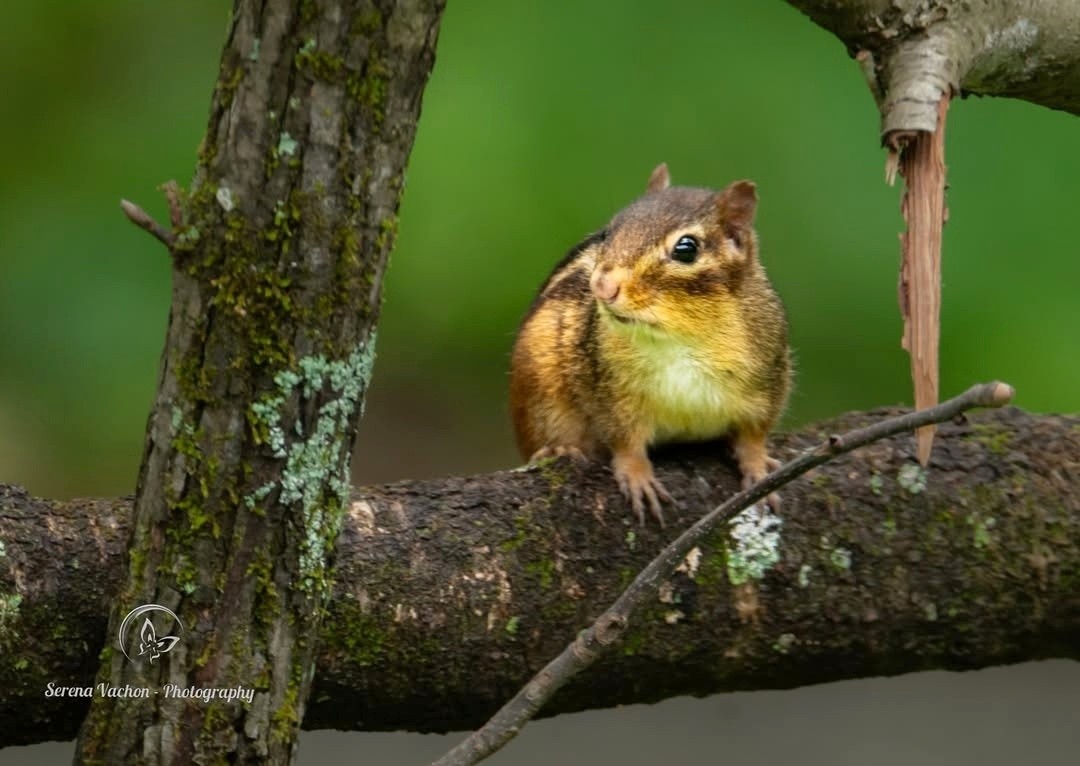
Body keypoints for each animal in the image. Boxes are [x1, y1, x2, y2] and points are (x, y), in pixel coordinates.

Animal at [509, 163, 792, 525]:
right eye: (608, 233)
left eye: (686, 249)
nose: (602, 285)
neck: (680, 336)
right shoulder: (610, 391)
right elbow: (625, 440)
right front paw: (637, 475)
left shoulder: (767, 380)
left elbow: (754, 434)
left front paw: (757, 464)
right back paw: (561, 449)